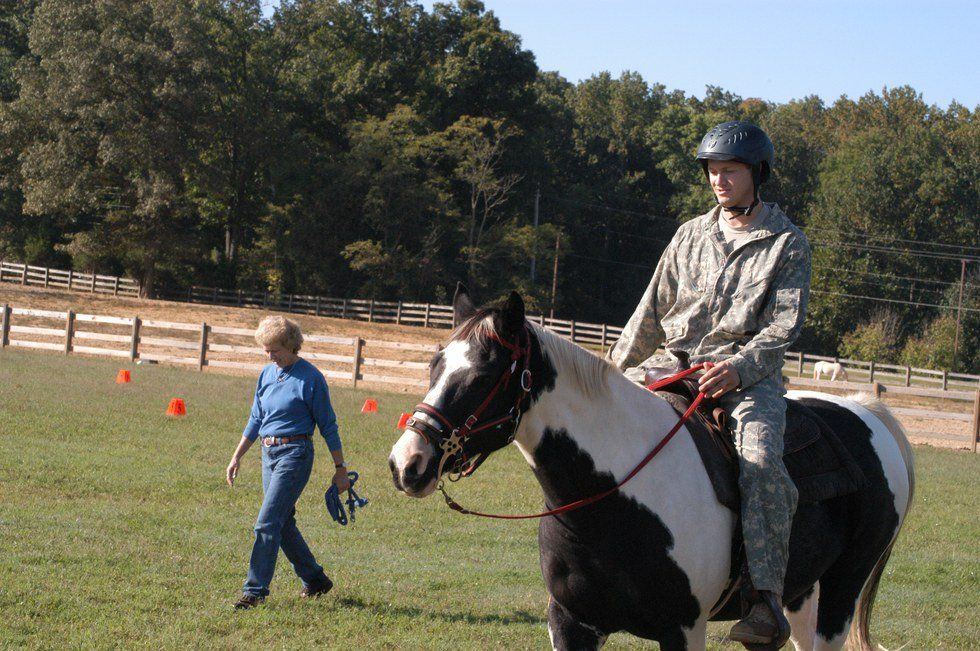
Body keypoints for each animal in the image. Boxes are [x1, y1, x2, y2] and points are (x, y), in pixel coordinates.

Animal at [386, 292, 916, 651]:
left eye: (481, 375)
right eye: (434, 366)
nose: (406, 462)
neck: (616, 497)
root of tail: (866, 411)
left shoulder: (683, 629)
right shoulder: (571, 624)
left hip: (842, 588)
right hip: (801, 593)